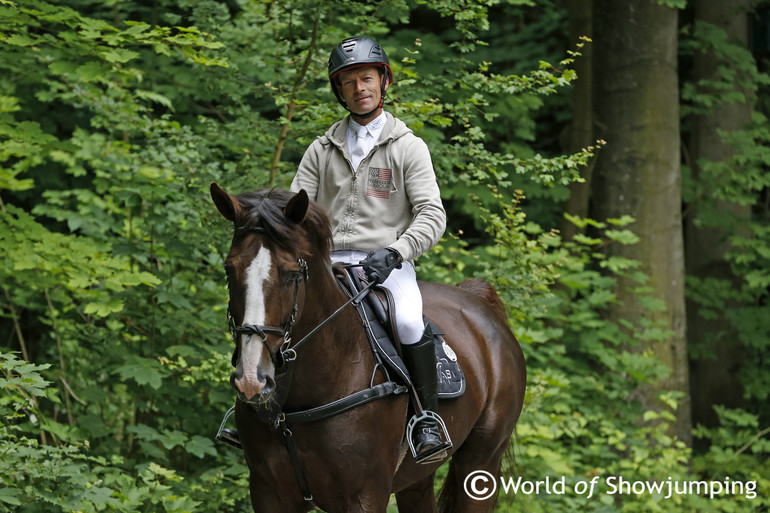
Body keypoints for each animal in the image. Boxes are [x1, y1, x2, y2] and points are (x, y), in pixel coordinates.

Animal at [208, 184, 520, 512]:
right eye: (229, 269)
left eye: (291, 273)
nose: (252, 380)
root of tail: (478, 303)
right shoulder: (268, 492)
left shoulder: (366, 494)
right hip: (417, 477)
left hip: (480, 461)